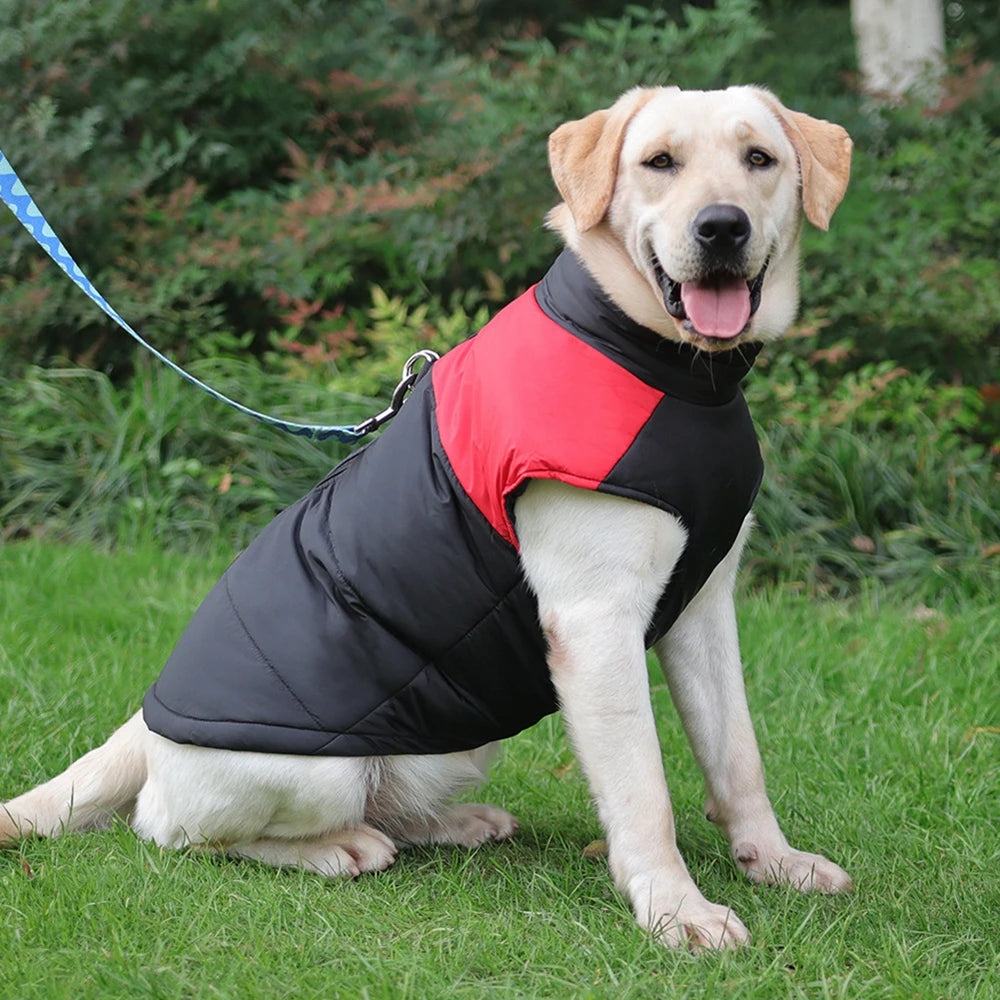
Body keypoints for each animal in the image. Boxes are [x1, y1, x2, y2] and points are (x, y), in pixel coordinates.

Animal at [3, 84, 856, 944]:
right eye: (659, 162)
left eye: (759, 159)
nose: (722, 226)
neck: (670, 370)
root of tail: (146, 720)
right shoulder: (595, 621)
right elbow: (644, 791)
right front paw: (675, 908)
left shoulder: (704, 605)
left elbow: (738, 755)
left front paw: (772, 860)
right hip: (316, 771)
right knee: (171, 827)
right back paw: (336, 848)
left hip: (459, 738)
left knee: (388, 807)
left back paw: (453, 824)